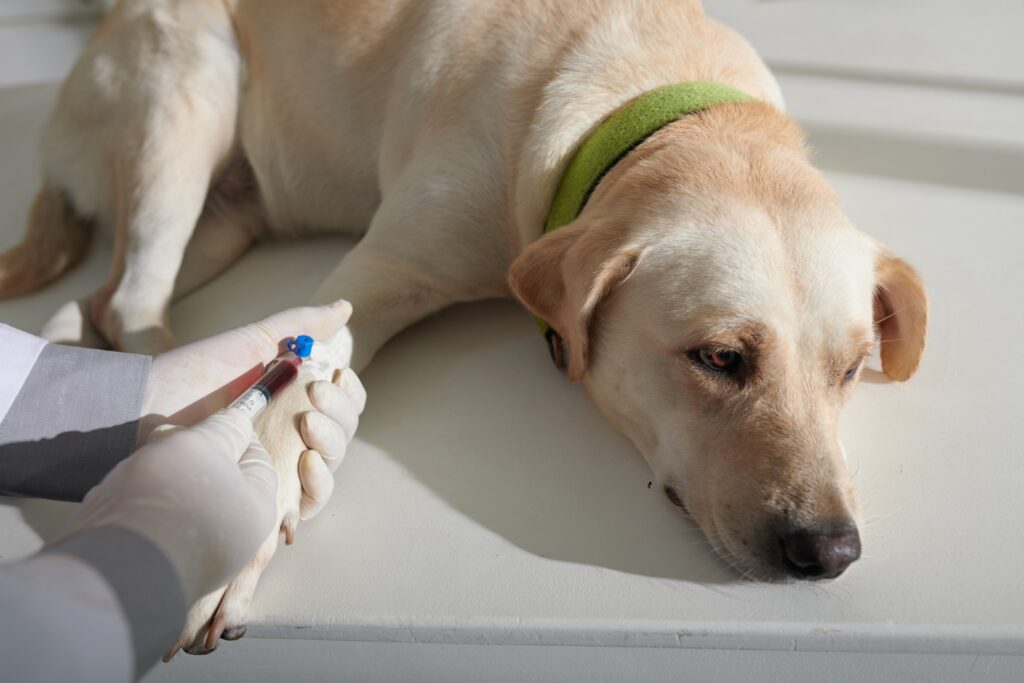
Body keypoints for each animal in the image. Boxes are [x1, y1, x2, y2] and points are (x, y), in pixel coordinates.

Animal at [0, 0, 929, 655]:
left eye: (851, 370)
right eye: (722, 357)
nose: (830, 550)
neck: (639, 94)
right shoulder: (373, 277)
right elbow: (286, 393)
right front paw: (231, 521)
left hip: (228, 217)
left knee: (97, 299)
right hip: (188, 98)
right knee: (130, 297)